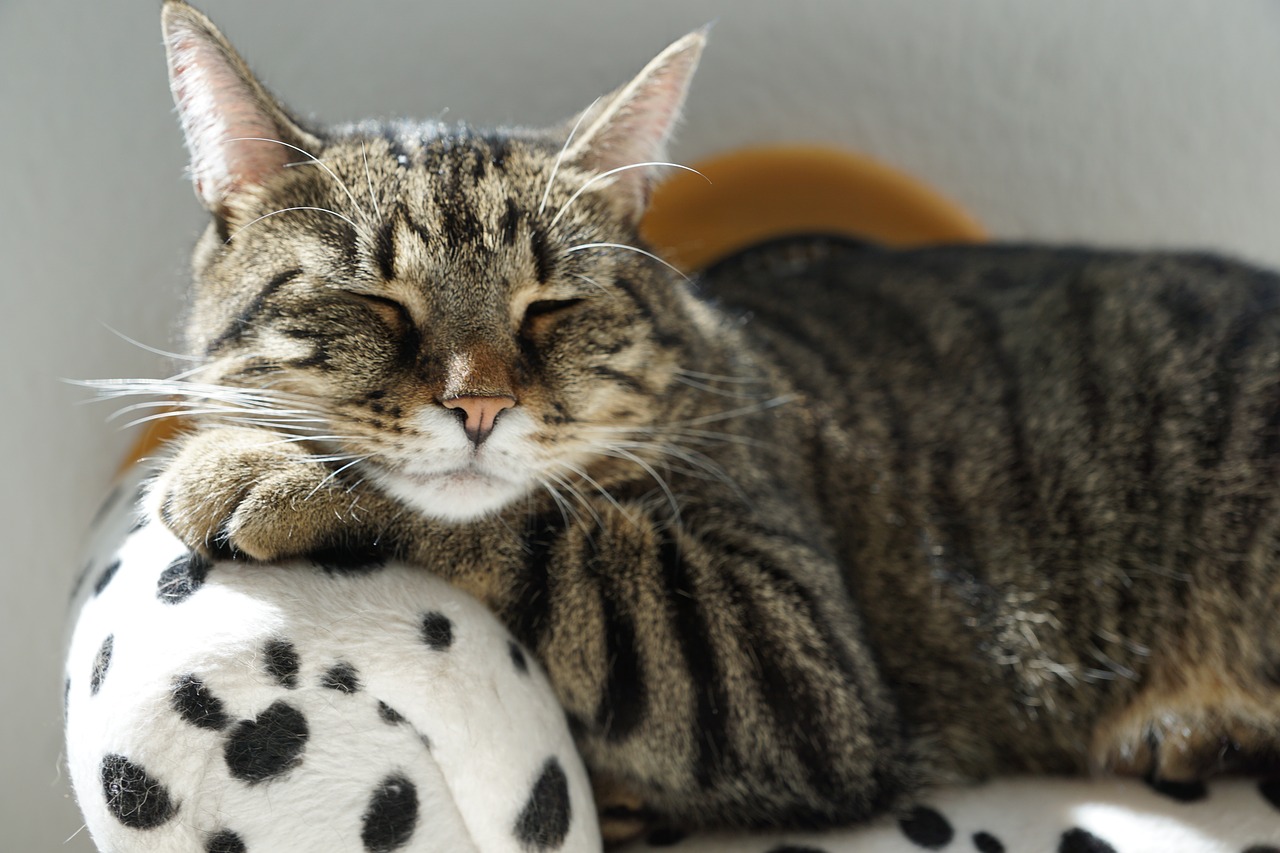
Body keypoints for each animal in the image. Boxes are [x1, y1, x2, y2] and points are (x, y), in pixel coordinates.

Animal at [135, 0, 1280, 835]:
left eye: (552, 307)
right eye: (375, 302)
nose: (480, 403)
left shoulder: (785, 648)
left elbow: (551, 535)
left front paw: (256, 466)